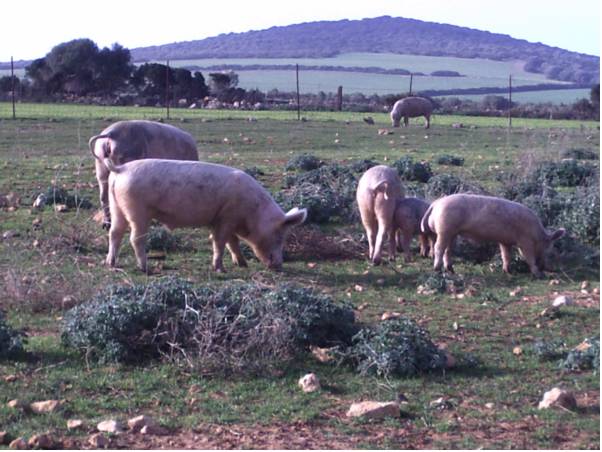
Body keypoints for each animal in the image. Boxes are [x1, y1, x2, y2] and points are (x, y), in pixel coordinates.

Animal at [102, 159, 304, 272]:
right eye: (280, 236)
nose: (279, 265)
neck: (253, 211)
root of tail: (120, 169)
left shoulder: (224, 219)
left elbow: (232, 243)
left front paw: (242, 264)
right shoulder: (226, 217)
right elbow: (220, 242)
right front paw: (220, 269)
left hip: (117, 207)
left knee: (114, 233)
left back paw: (110, 264)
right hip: (138, 211)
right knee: (136, 238)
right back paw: (144, 267)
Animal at [418, 193, 564, 278]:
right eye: (550, 249)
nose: (544, 267)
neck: (536, 235)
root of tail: (435, 204)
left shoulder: (505, 241)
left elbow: (506, 255)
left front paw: (508, 272)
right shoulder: (525, 242)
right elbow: (528, 257)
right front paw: (539, 274)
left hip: (452, 232)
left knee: (448, 250)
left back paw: (451, 271)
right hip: (445, 229)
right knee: (439, 248)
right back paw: (437, 269)